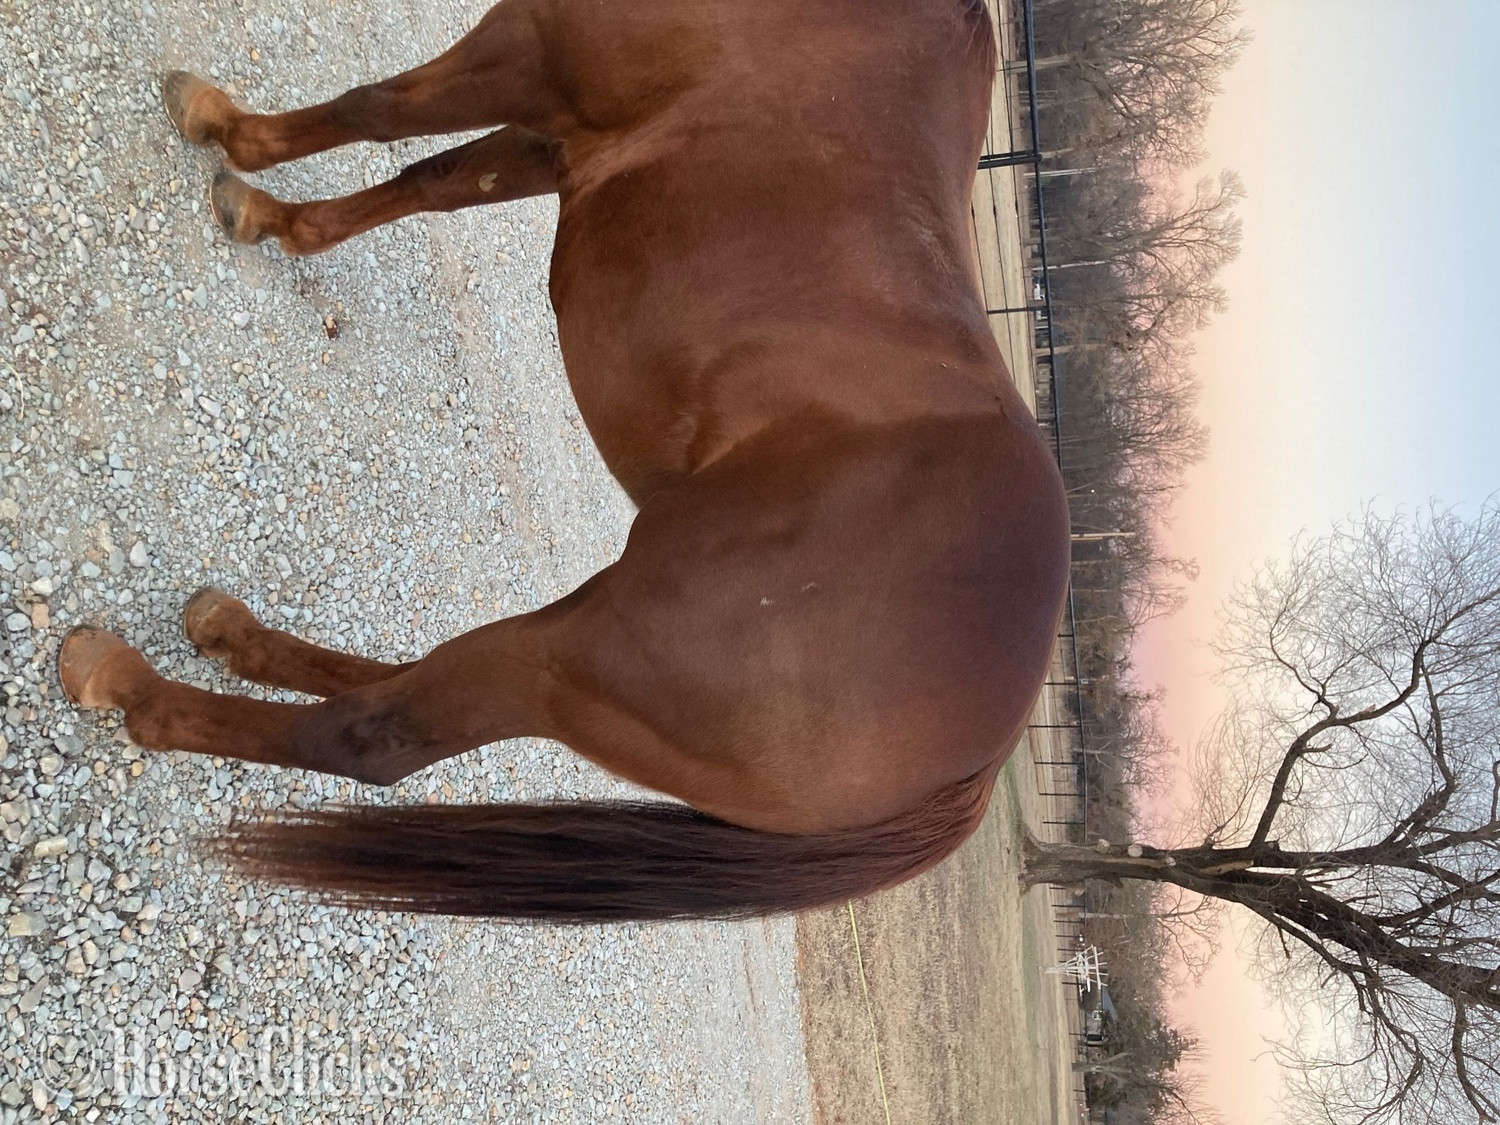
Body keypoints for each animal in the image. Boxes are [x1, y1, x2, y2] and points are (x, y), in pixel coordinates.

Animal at [59, 0, 1070, 922]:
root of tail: (978, 767)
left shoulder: (532, 48)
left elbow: (375, 109)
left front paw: (232, 139)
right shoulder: (557, 129)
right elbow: (434, 174)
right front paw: (267, 208)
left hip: (572, 661)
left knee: (371, 736)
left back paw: (124, 682)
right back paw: (227, 633)